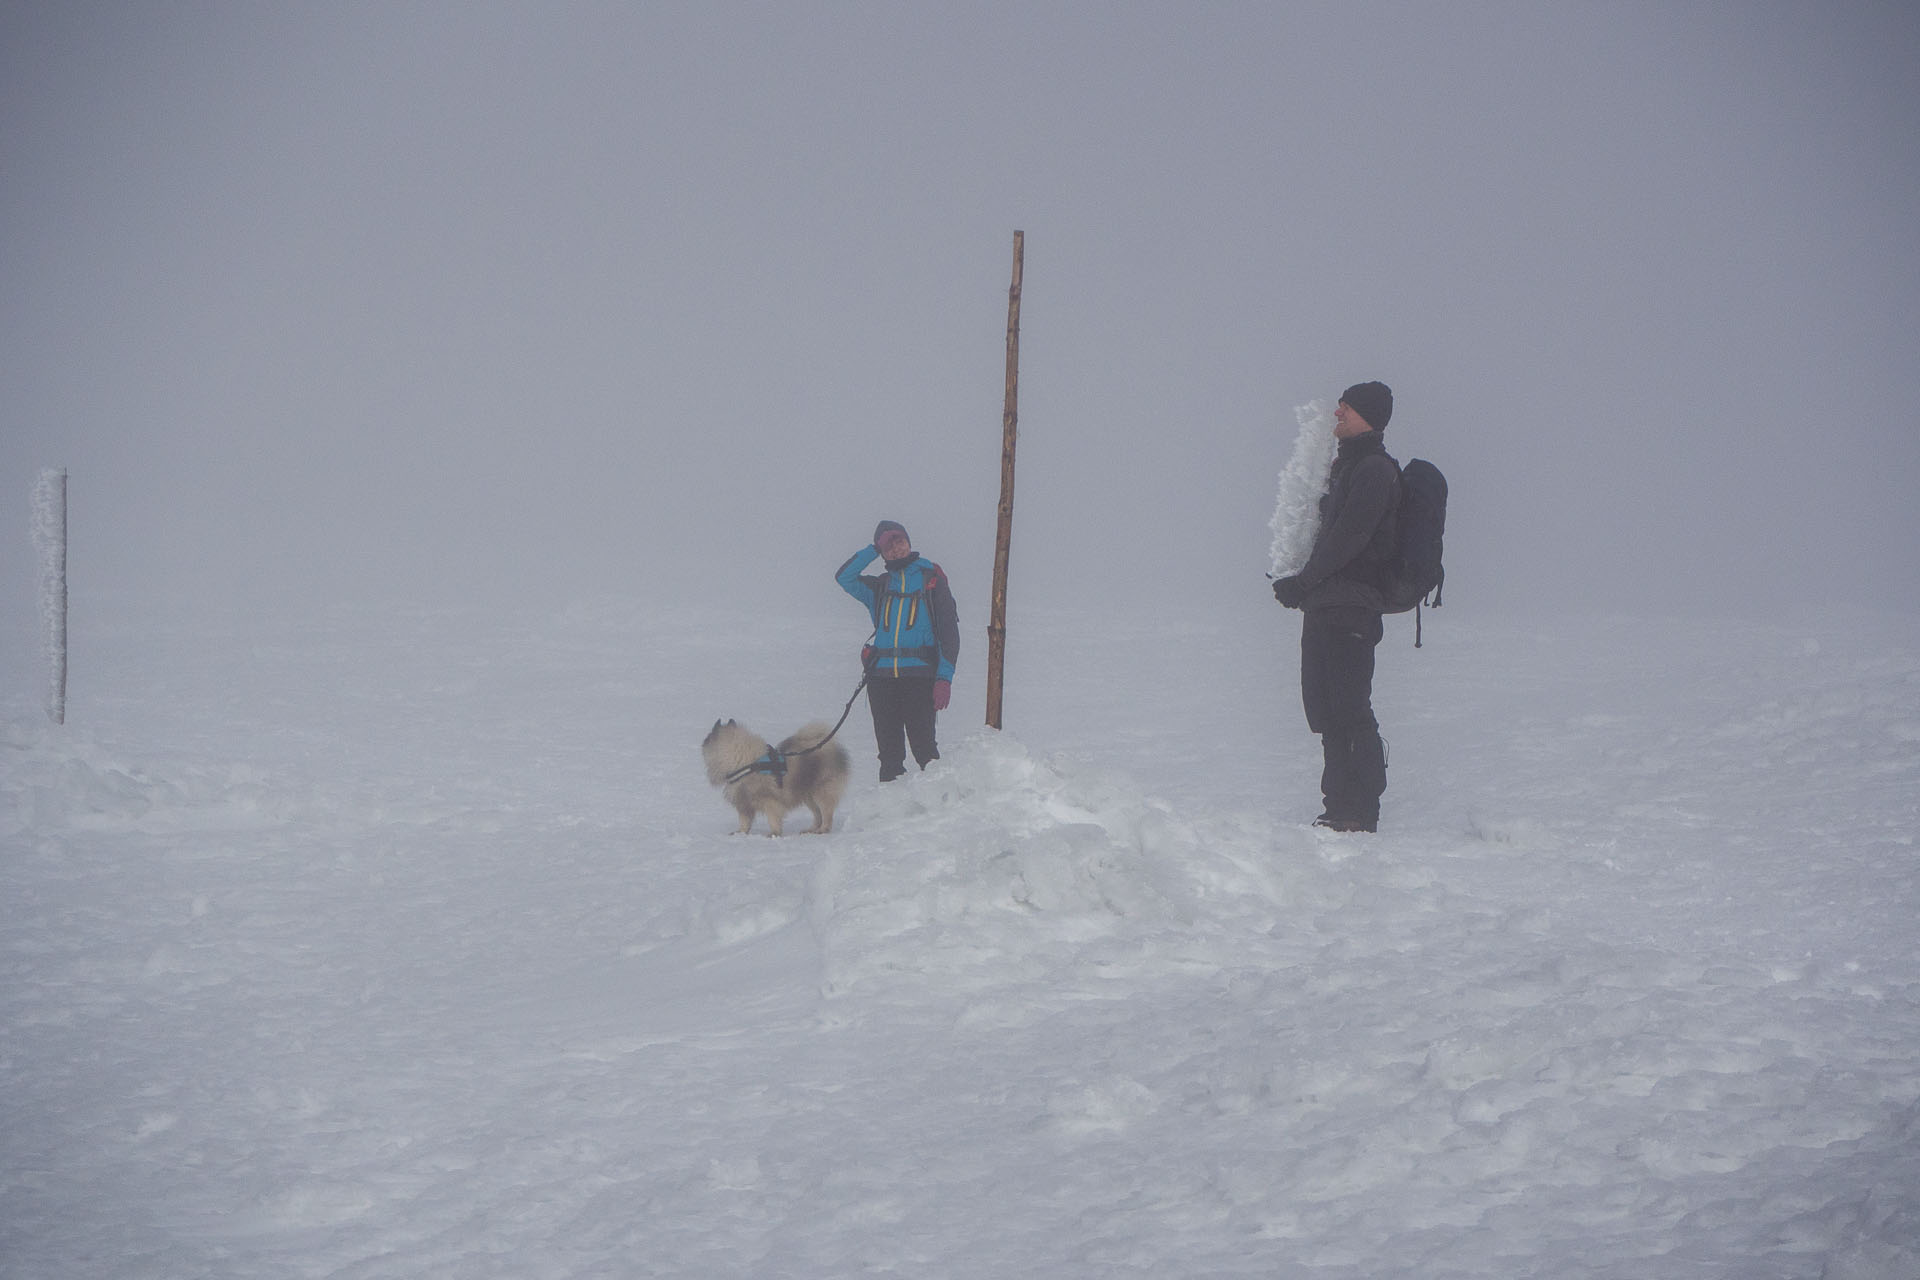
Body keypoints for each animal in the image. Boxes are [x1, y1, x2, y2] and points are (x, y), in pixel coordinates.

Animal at [702, 717, 852, 836]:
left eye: (707, 738)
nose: (702, 743)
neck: (745, 764)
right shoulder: (744, 802)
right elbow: (744, 821)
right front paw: (740, 833)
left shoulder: (770, 801)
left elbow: (773, 819)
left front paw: (774, 833)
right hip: (808, 796)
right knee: (818, 814)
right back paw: (811, 829)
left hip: (821, 792)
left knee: (826, 814)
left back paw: (822, 830)